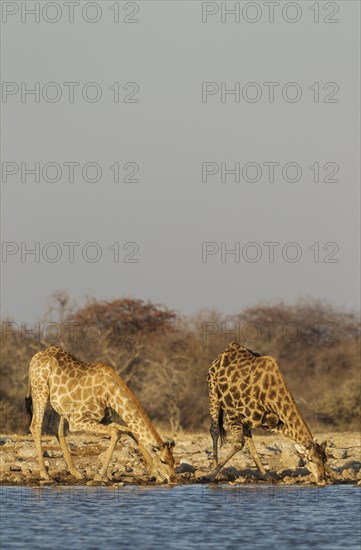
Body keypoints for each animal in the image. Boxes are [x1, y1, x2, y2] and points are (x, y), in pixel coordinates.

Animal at [25, 350, 174, 484]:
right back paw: (45, 474)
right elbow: (116, 433)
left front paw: (157, 475)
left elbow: (130, 431)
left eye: (174, 460)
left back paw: (76, 472)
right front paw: (101, 475)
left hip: (58, 405)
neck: (110, 394)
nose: (172, 479)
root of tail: (33, 359)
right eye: (163, 461)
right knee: (36, 425)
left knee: (56, 428)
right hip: (41, 390)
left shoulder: (103, 419)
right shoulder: (77, 421)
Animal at [207, 344, 328, 488]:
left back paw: (265, 474)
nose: (322, 479)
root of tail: (227, 349)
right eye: (310, 459)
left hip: (246, 420)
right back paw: (217, 472)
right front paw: (210, 474)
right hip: (213, 393)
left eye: (325, 459)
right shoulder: (232, 416)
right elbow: (238, 443)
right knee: (214, 430)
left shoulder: (275, 424)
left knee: (248, 438)